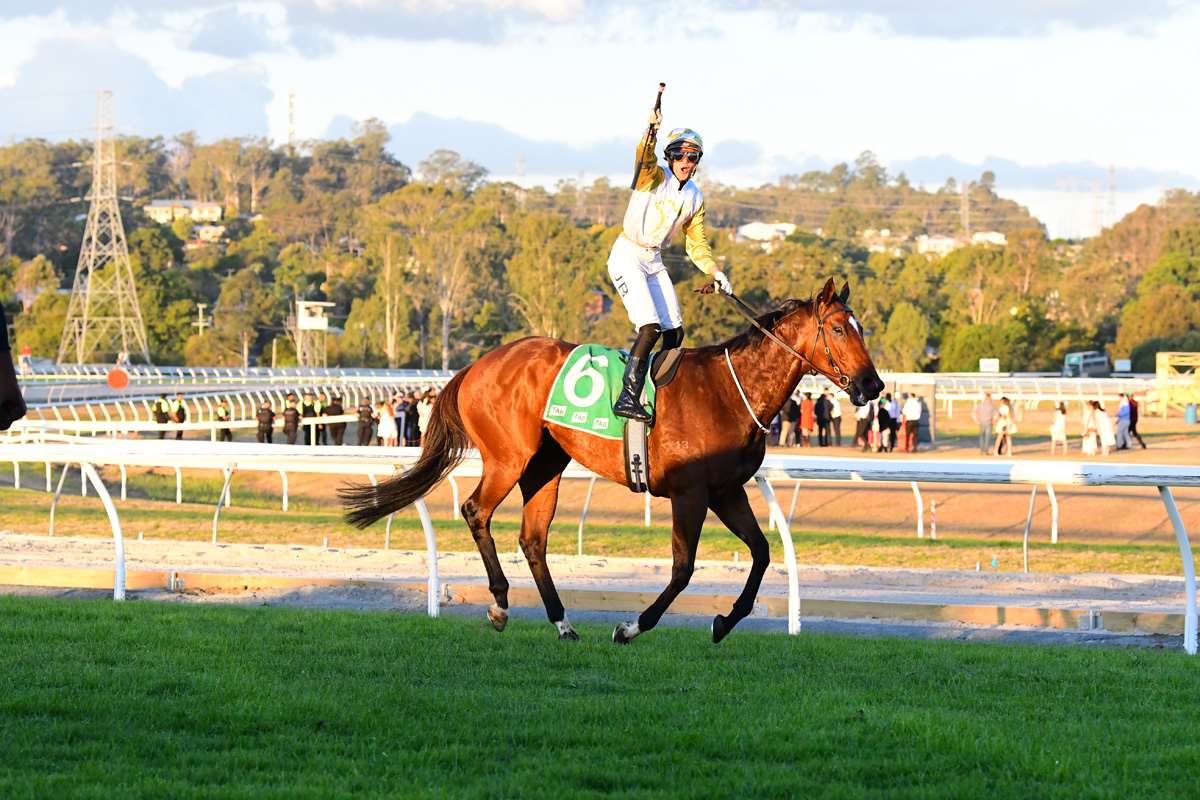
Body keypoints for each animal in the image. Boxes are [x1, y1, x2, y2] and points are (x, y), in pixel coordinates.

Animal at [343, 278, 888, 642]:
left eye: (858, 327)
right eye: (839, 328)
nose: (873, 385)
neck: (729, 392)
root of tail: (476, 365)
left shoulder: (726, 490)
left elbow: (761, 553)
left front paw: (724, 621)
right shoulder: (689, 493)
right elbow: (683, 568)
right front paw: (632, 626)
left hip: (546, 464)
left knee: (533, 538)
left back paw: (562, 621)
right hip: (508, 457)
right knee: (477, 511)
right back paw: (499, 605)